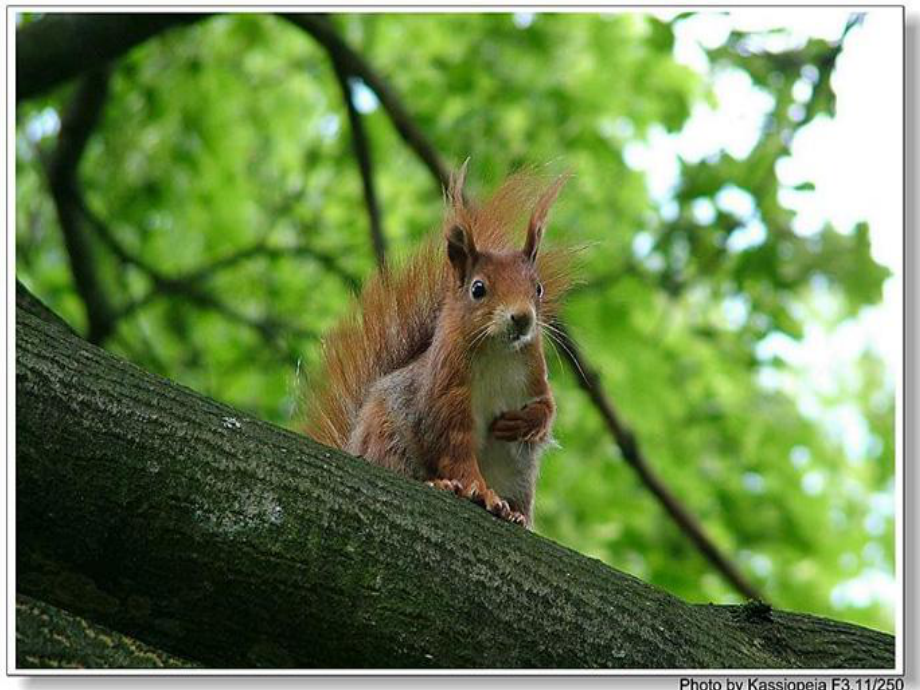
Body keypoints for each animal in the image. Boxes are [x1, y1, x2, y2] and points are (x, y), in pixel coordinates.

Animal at [304, 163, 576, 528]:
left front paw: (525, 422)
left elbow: (547, 408)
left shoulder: (534, 377)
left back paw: (517, 515)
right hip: (388, 437)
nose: (522, 318)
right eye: (478, 289)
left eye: (538, 288)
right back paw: (442, 484)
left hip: (519, 475)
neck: (498, 353)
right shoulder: (446, 395)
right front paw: (479, 491)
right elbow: (454, 449)